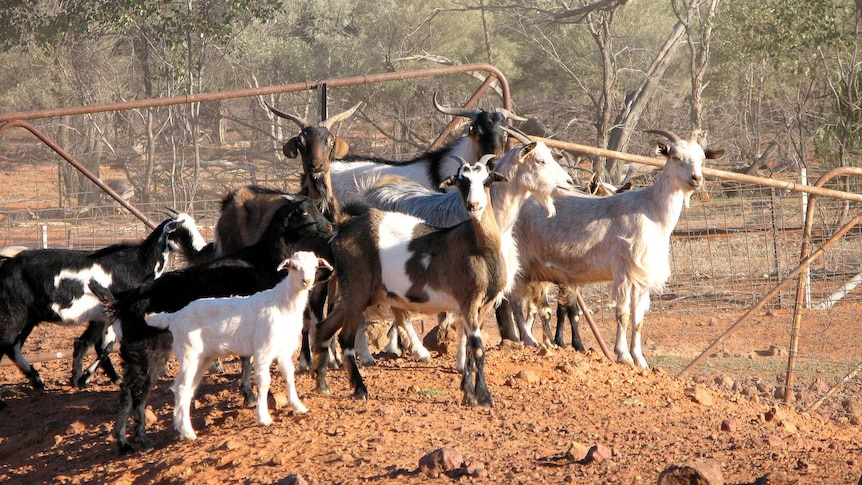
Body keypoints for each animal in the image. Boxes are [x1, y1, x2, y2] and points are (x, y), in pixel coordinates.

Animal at [0, 214, 206, 406]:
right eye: (182, 231)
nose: (201, 249)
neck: (137, 264)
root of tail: (7, 264)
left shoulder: (104, 316)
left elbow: (98, 346)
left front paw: (86, 379)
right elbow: (103, 347)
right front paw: (83, 378)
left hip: (27, 318)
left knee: (12, 346)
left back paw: (37, 381)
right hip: (13, 314)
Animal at [140, 251, 332, 440]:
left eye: (315, 266)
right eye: (294, 267)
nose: (306, 281)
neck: (282, 303)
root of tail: (174, 316)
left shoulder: (284, 350)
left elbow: (289, 376)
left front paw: (298, 407)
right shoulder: (263, 348)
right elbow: (264, 381)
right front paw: (263, 417)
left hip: (203, 357)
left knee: (187, 389)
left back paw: (183, 430)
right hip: (189, 353)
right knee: (181, 388)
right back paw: (188, 432)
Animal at [318, 159, 516, 404]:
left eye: (487, 180)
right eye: (461, 181)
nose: (474, 205)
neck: (478, 247)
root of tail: (342, 229)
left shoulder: (483, 305)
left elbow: (471, 348)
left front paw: (469, 393)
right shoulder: (469, 301)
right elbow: (478, 349)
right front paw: (484, 397)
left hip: (354, 295)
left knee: (324, 328)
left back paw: (322, 385)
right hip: (357, 290)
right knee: (346, 337)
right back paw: (360, 389)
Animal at [512, 130, 724, 364]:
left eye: (702, 159)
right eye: (675, 157)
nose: (696, 178)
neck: (651, 213)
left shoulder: (642, 276)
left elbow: (638, 318)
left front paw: (640, 360)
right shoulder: (624, 271)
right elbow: (623, 314)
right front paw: (623, 355)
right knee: (515, 302)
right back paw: (526, 339)